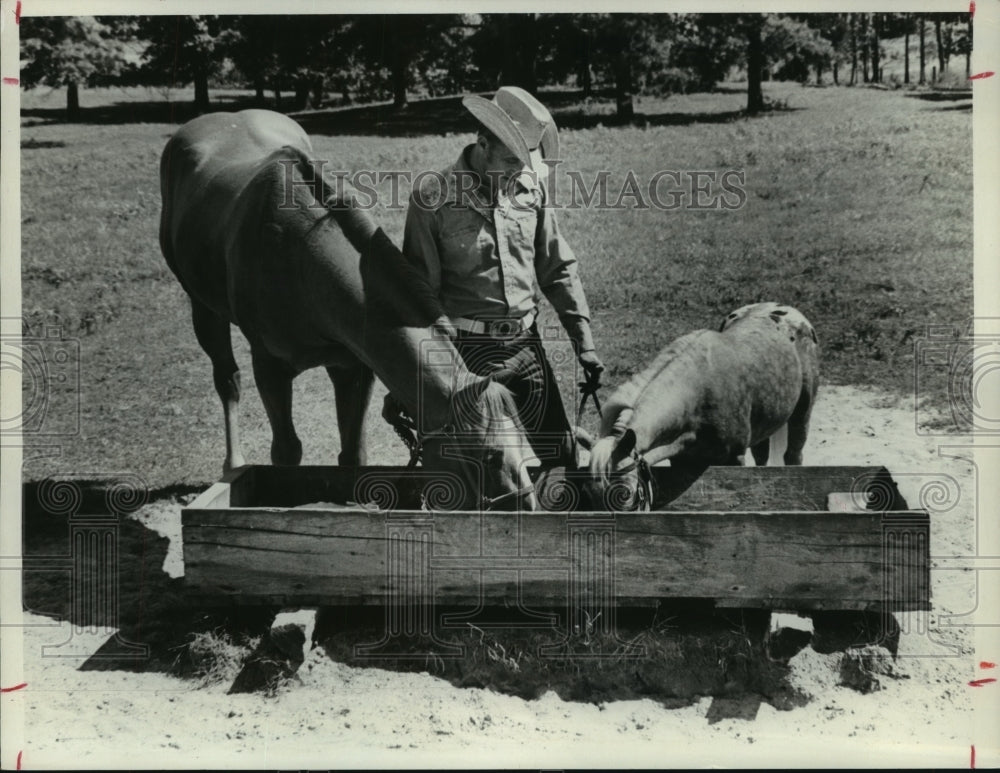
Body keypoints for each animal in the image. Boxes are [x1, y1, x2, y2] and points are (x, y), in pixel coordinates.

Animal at [162, 107, 540, 506]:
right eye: (488, 455)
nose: (527, 510)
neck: (301, 258)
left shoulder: (353, 368)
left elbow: (353, 455)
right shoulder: (270, 369)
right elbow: (286, 452)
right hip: (204, 311)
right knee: (227, 380)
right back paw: (232, 461)